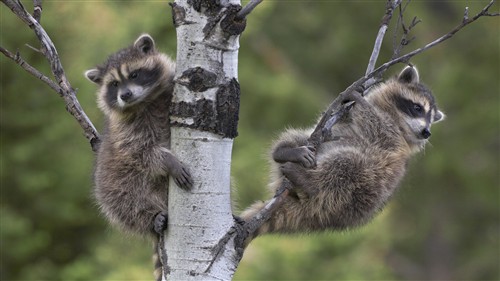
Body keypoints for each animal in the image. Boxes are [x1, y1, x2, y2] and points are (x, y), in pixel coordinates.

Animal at [86, 34, 191, 278]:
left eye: (134, 75)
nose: (125, 95)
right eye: (114, 84)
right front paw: (168, 160)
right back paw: (151, 217)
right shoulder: (126, 132)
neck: (144, 101)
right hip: (111, 182)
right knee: (123, 202)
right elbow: (141, 153)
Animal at [240, 65, 444, 236]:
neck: (396, 119)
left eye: (431, 119)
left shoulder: (394, 141)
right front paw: (352, 98)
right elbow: (332, 118)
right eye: (418, 108)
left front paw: (360, 101)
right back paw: (285, 151)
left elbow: (378, 127)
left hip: (360, 193)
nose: (427, 132)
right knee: (299, 137)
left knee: (347, 166)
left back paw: (310, 181)